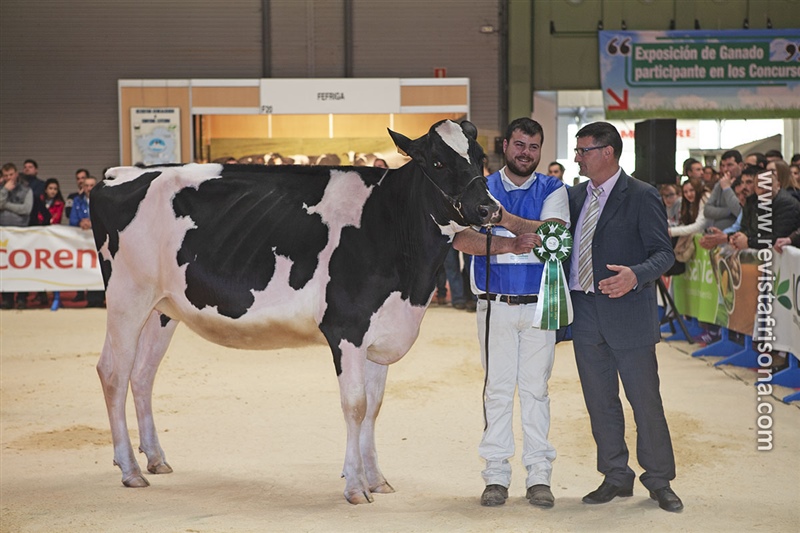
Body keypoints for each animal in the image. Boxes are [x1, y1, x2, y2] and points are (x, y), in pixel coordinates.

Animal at [89, 119, 500, 502]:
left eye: (480, 156)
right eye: (437, 161)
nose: (489, 208)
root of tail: (120, 174)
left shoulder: (380, 334)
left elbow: (374, 407)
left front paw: (376, 479)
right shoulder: (346, 328)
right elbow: (355, 405)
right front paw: (355, 486)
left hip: (162, 309)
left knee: (142, 374)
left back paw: (156, 459)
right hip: (127, 297)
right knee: (113, 372)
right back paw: (130, 469)